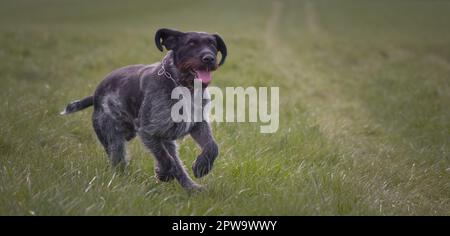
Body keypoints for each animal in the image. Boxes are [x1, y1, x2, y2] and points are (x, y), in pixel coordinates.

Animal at [61, 28, 227, 190]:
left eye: (212, 44)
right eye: (191, 44)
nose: (209, 58)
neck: (183, 86)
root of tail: (95, 95)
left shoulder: (197, 124)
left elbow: (212, 146)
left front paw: (202, 166)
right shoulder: (148, 132)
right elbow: (166, 159)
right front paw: (164, 173)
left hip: (166, 140)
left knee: (177, 162)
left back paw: (192, 188)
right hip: (113, 140)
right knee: (120, 162)